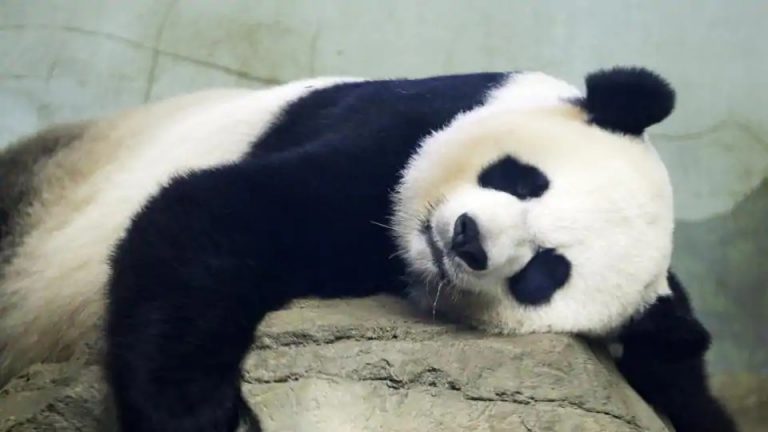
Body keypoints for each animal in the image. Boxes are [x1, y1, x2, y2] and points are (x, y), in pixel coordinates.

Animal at [0, 67, 735, 432]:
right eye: (523, 179)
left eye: (545, 273)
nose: (467, 240)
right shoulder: (402, 126)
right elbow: (216, 211)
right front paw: (194, 414)